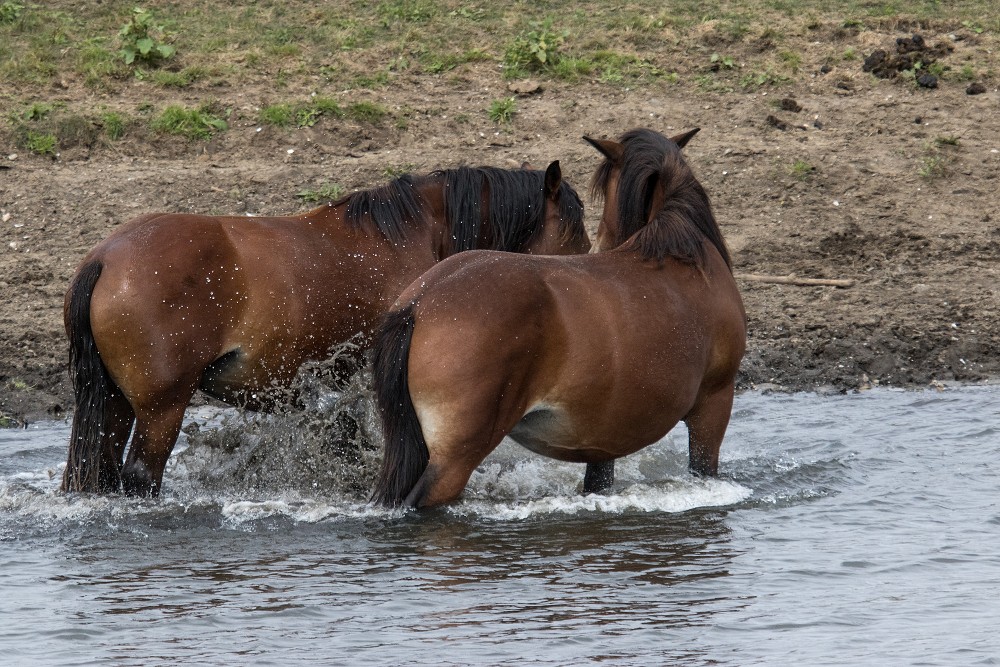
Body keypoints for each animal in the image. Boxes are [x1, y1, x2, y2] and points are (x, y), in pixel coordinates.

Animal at [62, 160, 588, 496]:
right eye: (573, 230)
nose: (583, 282)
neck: (409, 239)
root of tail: (105, 259)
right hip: (161, 410)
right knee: (140, 478)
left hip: (115, 405)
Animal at [372, 129, 748, 506]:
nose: (602, 245)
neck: (683, 255)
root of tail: (420, 302)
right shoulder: (713, 407)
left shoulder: (604, 440)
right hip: (453, 461)